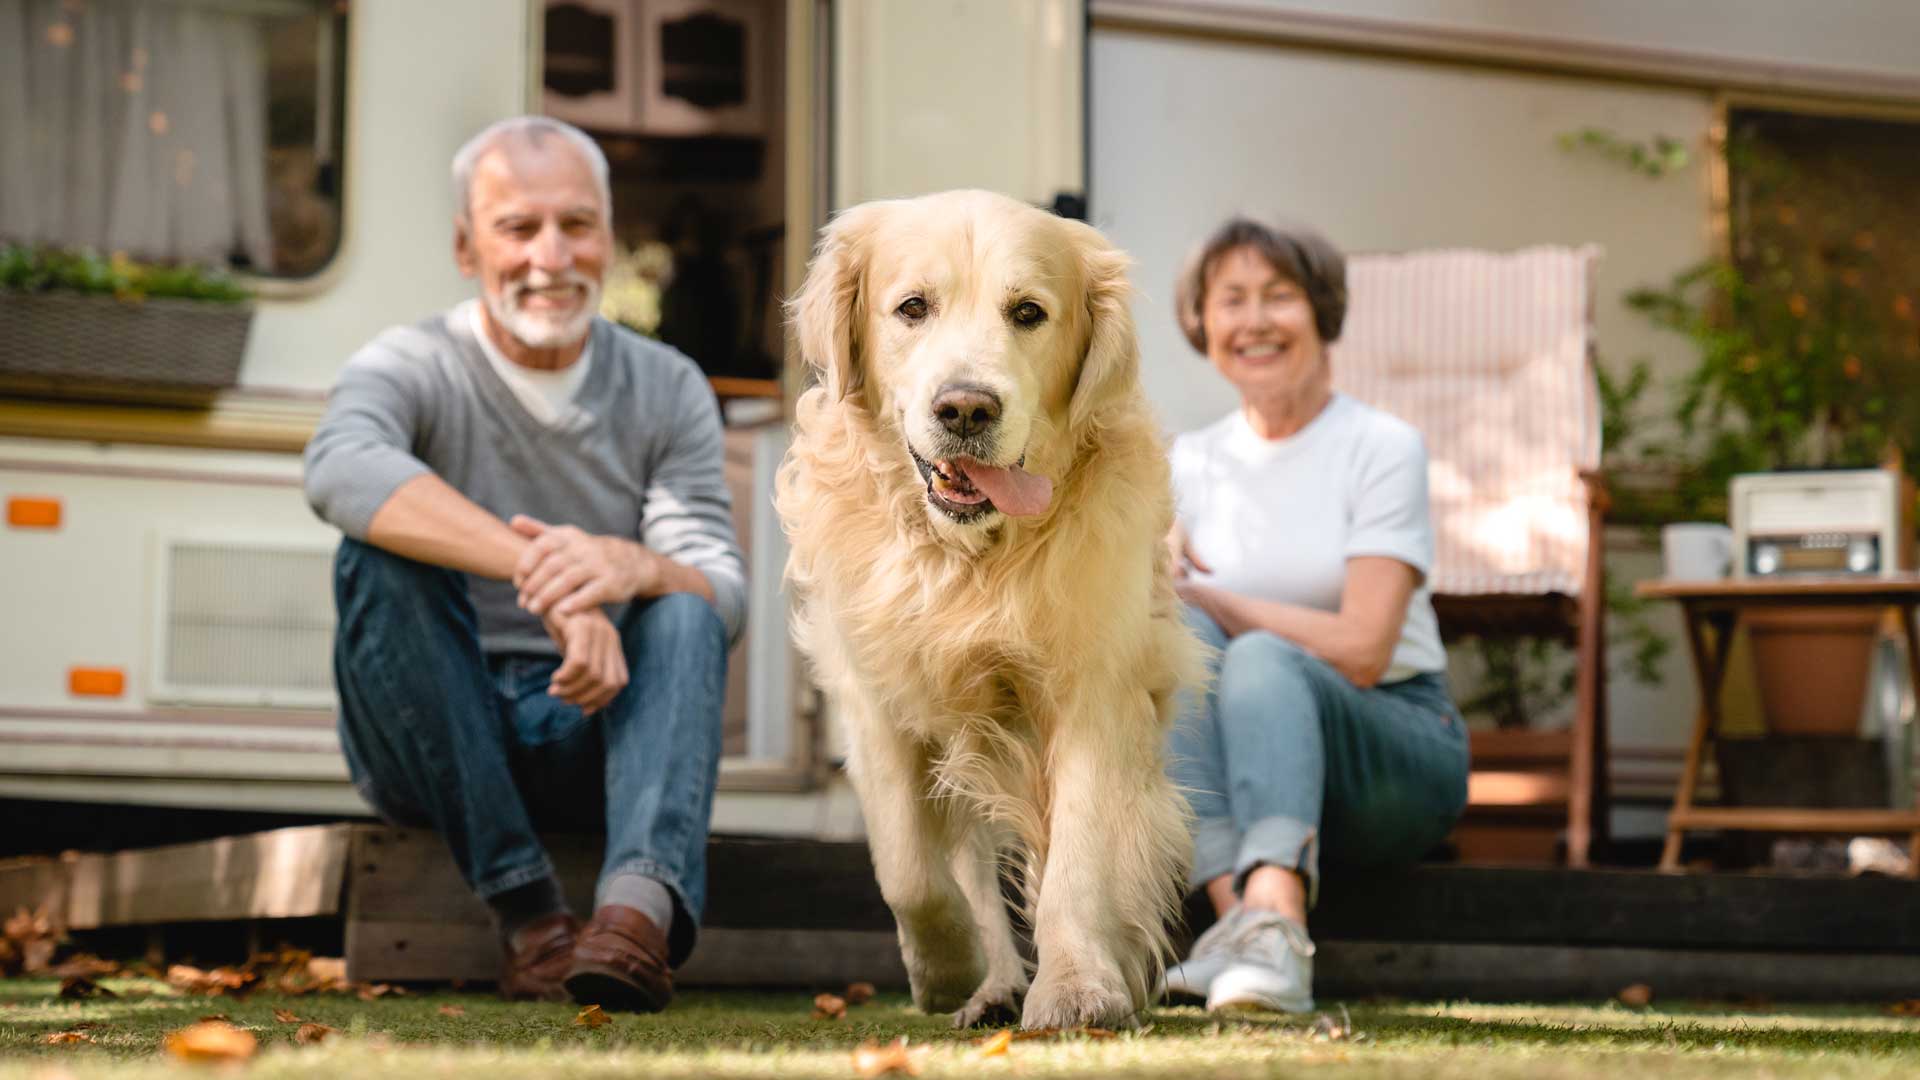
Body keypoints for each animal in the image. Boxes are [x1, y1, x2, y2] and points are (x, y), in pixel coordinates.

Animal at [768, 187, 1190, 1022]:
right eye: (912, 307)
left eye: (1028, 312)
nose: (966, 409)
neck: (970, 559)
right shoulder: (877, 699)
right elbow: (911, 871)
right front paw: (947, 968)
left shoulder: (1095, 690)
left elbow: (1081, 857)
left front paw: (1080, 985)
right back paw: (991, 983)